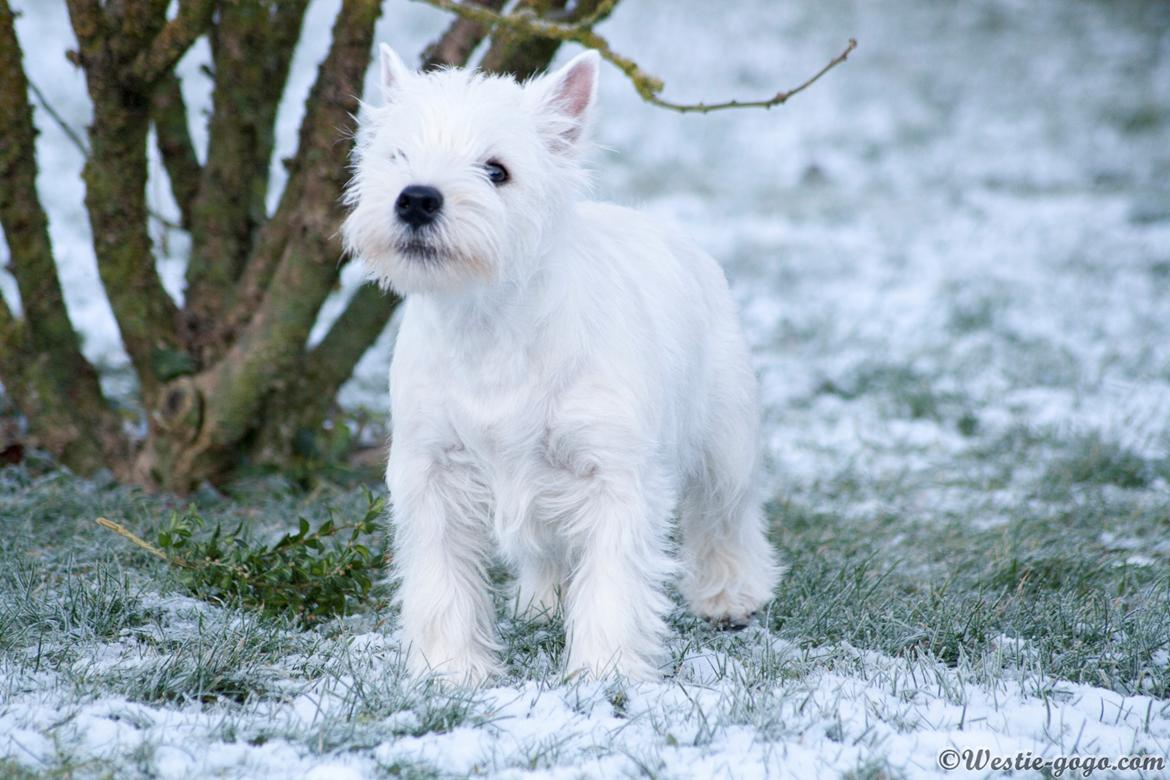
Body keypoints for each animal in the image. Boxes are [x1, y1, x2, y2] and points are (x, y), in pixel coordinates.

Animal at [341, 44, 776, 682]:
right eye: (397, 156)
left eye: (496, 169)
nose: (417, 197)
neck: (490, 325)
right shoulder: (433, 471)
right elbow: (444, 581)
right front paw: (451, 670)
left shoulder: (613, 474)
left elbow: (612, 581)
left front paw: (605, 672)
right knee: (545, 549)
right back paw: (540, 603)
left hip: (726, 435)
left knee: (727, 514)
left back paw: (731, 596)